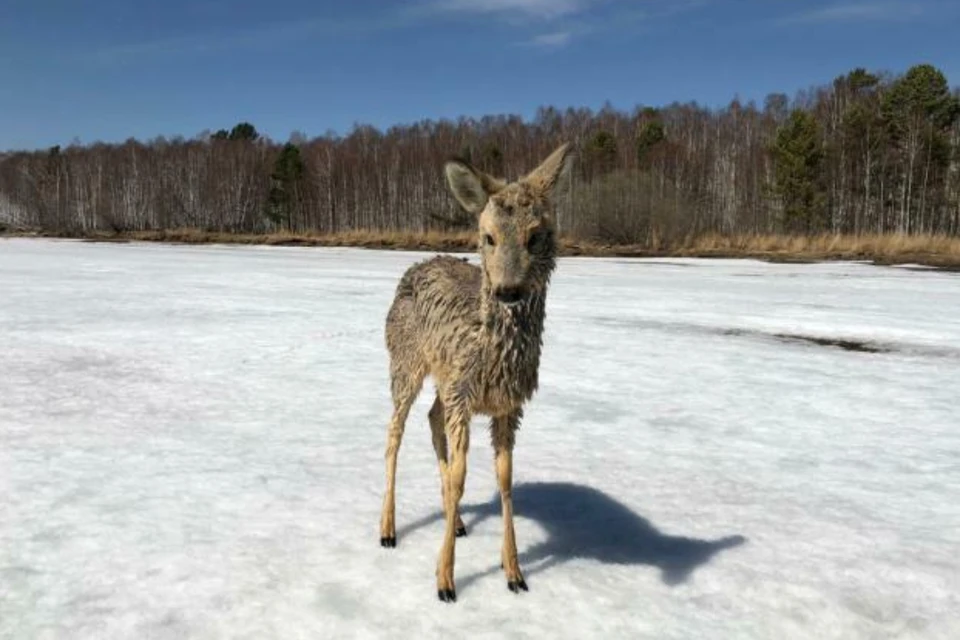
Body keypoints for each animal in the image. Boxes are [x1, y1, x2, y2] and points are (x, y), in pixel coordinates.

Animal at [376, 142, 572, 604]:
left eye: (535, 235)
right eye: (489, 237)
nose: (508, 291)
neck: (493, 357)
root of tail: (417, 265)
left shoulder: (508, 405)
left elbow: (504, 480)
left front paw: (514, 571)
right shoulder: (463, 395)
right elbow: (462, 477)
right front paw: (445, 579)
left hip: (442, 380)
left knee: (431, 419)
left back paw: (459, 520)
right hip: (405, 365)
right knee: (394, 433)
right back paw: (388, 529)